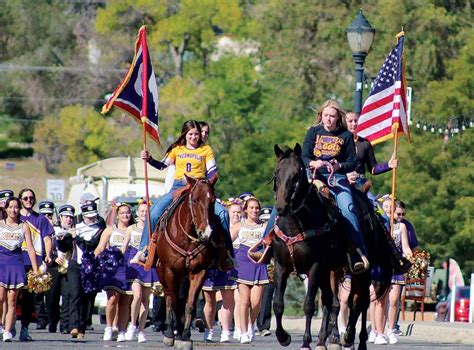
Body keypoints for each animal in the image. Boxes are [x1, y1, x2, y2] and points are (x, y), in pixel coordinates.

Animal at [149, 176, 219, 348]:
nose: (206, 233)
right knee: (169, 297)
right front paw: (177, 334)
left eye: (213, 200)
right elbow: (174, 302)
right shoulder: (170, 271)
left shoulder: (199, 271)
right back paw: (170, 333)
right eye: (194, 200)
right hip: (163, 272)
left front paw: (185, 337)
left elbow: (189, 303)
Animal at [268, 144, 390, 350]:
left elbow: (309, 305)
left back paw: (352, 338)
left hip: (363, 270)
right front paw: (283, 337)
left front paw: (306, 342)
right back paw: (327, 340)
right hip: (332, 270)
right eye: (277, 173)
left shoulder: (315, 266)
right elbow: (277, 303)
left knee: (360, 303)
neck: (297, 224)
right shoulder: (281, 266)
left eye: (297, 174)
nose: (281, 207)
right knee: (334, 301)